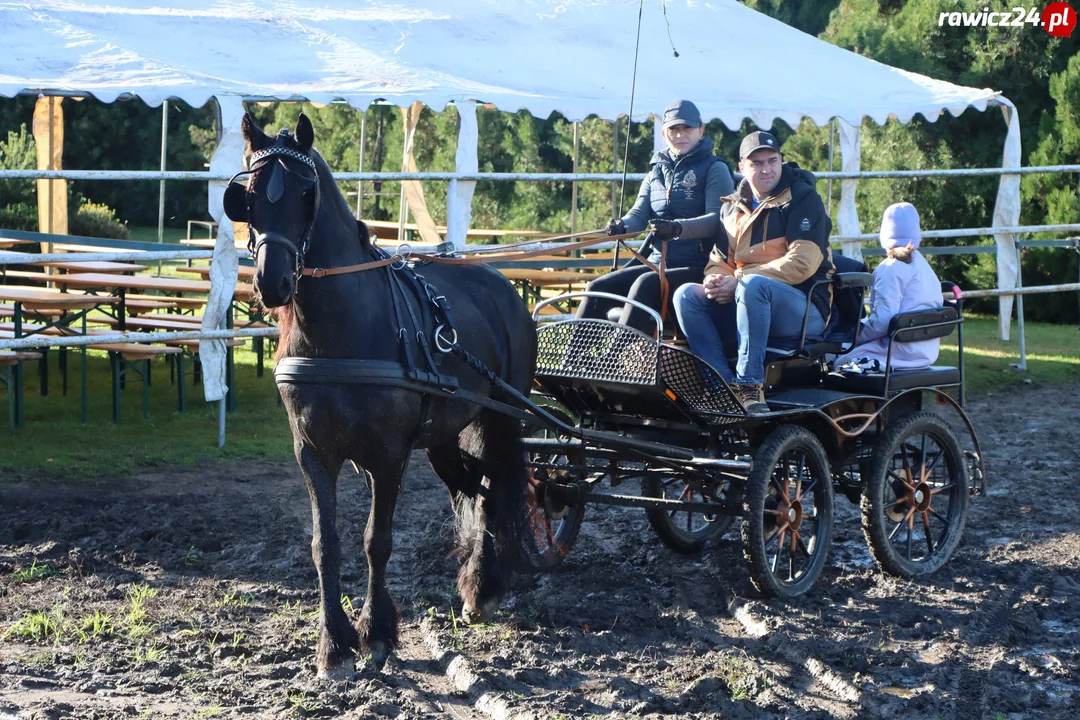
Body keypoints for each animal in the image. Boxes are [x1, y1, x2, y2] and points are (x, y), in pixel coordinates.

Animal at [223, 113, 535, 682]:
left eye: (306, 194)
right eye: (248, 196)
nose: (272, 283)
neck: (339, 329)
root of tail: (500, 284)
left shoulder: (387, 456)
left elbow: (377, 540)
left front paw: (377, 635)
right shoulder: (312, 452)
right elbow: (325, 545)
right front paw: (333, 645)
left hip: (502, 418)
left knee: (494, 487)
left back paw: (483, 586)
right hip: (444, 436)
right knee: (476, 486)